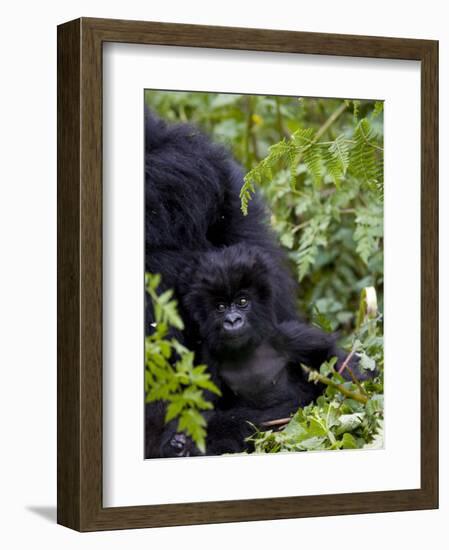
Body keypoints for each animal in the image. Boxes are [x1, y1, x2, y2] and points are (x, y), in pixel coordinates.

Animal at [161, 245, 360, 458]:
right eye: (221, 307)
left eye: (242, 301)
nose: (233, 320)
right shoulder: (207, 362)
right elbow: (200, 410)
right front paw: (182, 441)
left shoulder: (285, 337)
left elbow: (328, 354)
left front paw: (352, 387)